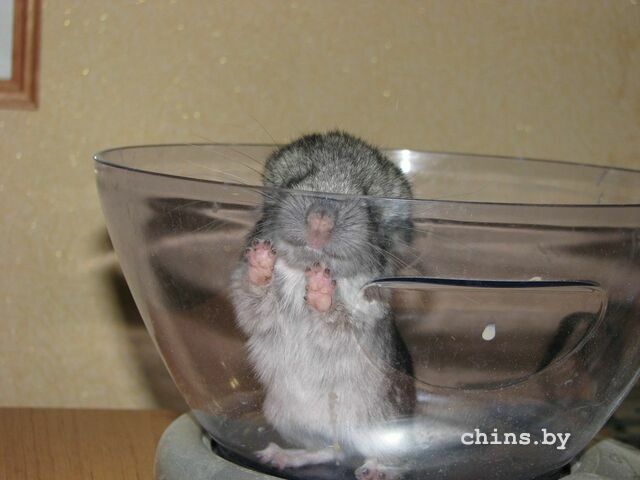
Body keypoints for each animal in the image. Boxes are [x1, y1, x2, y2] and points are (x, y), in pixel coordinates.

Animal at [230, 131, 416, 480]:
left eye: (369, 201)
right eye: (296, 179)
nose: (320, 220)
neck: (302, 269)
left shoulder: (360, 322)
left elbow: (335, 319)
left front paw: (320, 286)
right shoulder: (255, 311)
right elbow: (256, 298)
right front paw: (261, 260)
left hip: (383, 424)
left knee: (397, 462)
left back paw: (376, 470)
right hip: (289, 418)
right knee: (331, 450)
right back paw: (279, 456)